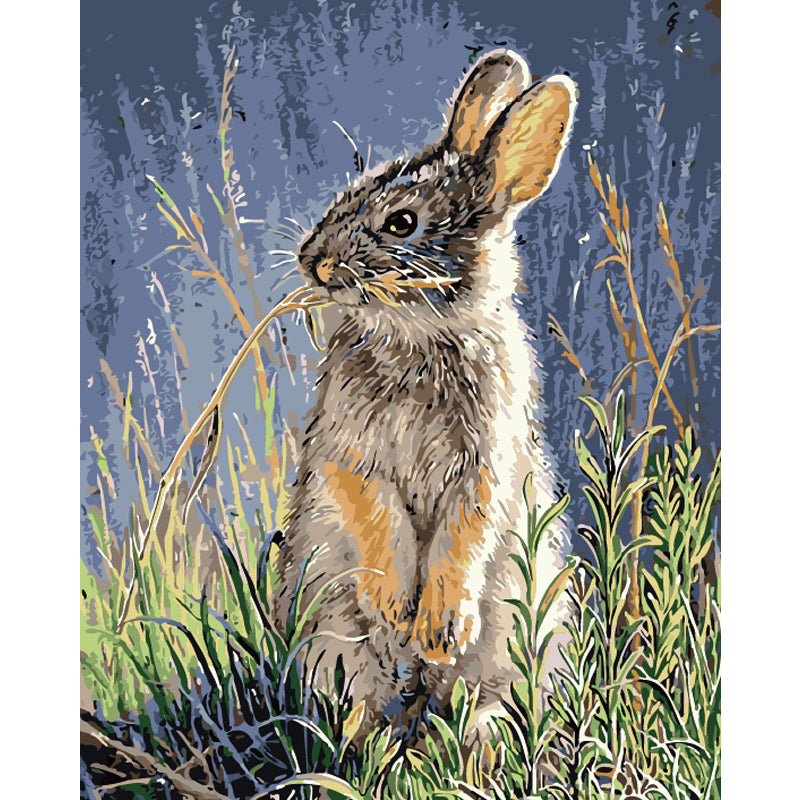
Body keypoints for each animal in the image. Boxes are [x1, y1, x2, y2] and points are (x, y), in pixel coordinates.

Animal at [275, 48, 577, 743]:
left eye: (403, 223)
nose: (312, 260)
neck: (420, 340)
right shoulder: (349, 450)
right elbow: (375, 513)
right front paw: (395, 608)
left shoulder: (486, 462)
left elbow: (464, 538)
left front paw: (438, 630)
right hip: (333, 644)